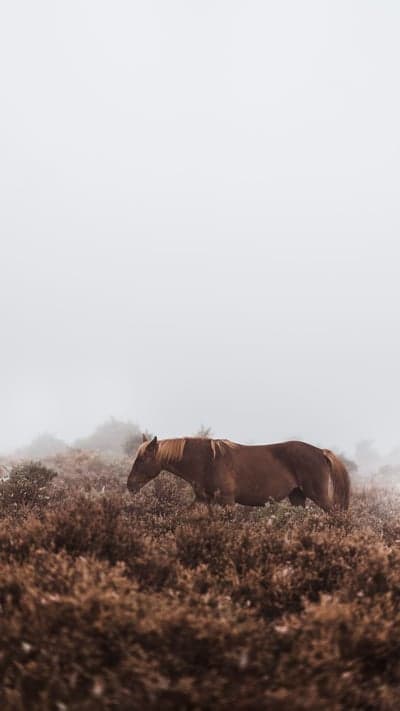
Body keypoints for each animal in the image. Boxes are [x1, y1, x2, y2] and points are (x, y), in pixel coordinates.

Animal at [127, 435, 350, 512]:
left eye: (142, 459)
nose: (130, 485)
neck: (207, 461)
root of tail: (320, 452)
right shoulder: (203, 500)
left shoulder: (227, 501)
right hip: (297, 497)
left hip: (318, 495)